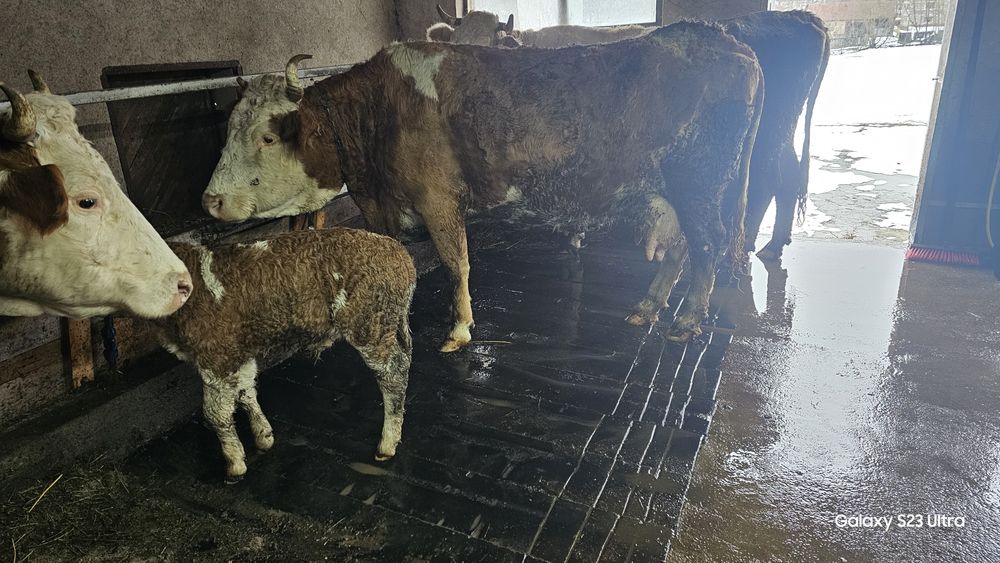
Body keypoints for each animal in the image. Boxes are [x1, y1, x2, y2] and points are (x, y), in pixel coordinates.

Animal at [151, 229, 415, 481]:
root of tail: (399, 253)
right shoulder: (239, 353)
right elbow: (246, 390)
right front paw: (263, 435)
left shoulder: (216, 356)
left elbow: (215, 414)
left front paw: (235, 464)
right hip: (389, 324)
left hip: (370, 325)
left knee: (394, 375)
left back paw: (387, 444)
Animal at [202, 23, 764, 351]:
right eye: (227, 128)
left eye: (268, 135)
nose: (211, 200)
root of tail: (722, 37)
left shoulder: (438, 200)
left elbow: (457, 263)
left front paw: (458, 329)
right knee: (684, 248)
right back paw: (647, 308)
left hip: (699, 184)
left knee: (707, 245)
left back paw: (687, 320)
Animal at [429, 8, 831, 261]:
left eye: (483, 51)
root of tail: (799, 16)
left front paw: (575, 234)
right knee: (784, 176)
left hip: (769, 132)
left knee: (770, 178)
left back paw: (753, 245)